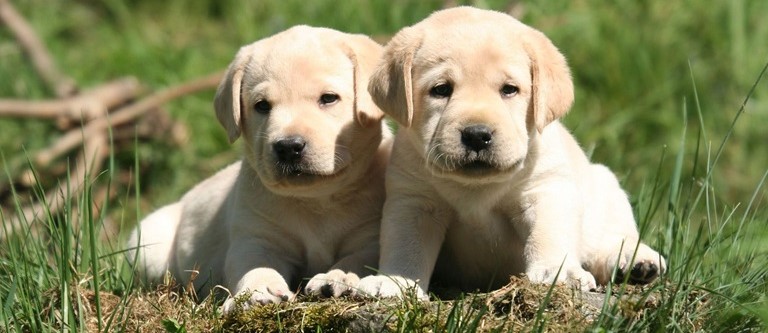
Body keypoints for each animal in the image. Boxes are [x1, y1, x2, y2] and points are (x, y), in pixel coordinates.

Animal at [127, 25, 390, 312]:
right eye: (262, 105)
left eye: (329, 98)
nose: (288, 146)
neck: (315, 201)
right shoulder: (256, 238)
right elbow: (255, 268)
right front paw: (257, 292)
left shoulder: (370, 236)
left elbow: (358, 259)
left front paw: (337, 277)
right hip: (147, 242)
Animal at [356, 7, 664, 298]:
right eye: (441, 89)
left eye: (509, 90)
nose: (477, 135)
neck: (476, 188)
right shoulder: (414, 200)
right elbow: (405, 246)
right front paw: (396, 281)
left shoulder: (545, 190)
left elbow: (549, 233)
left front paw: (558, 272)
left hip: (604, 187)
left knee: (612, 237)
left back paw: (637, 261)